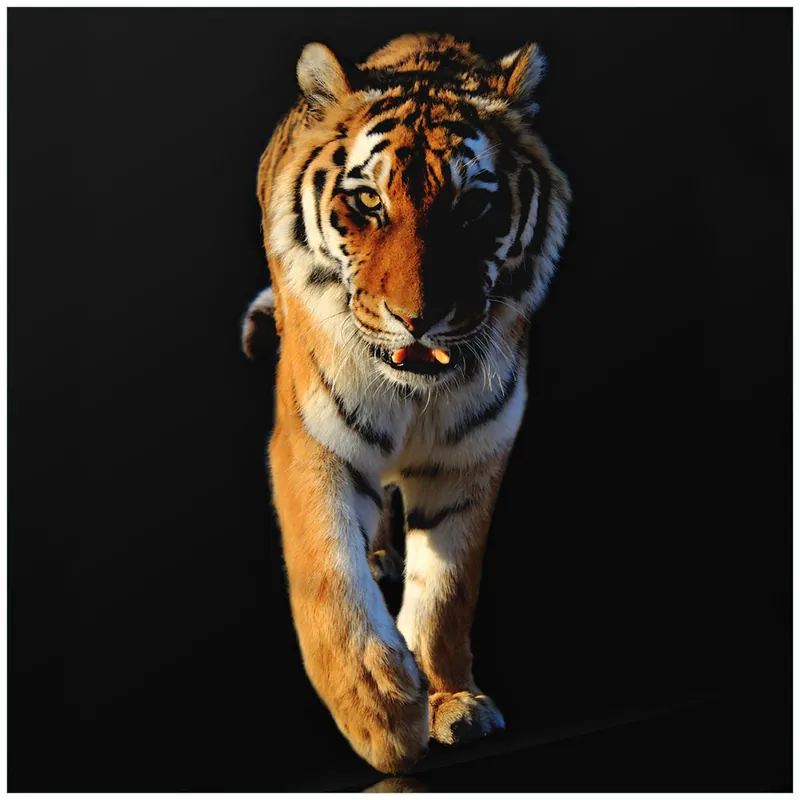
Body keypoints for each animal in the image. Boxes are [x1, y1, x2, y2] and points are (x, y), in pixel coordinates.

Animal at [242, 33, 570, 774]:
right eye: (367, 201)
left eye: (472, 205)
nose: (416, 319)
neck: (416, 394)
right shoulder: (314, 441)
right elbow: (327, 575)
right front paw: (381, 713)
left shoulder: (472, 454)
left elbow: (447, 591)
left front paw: (452, 702)